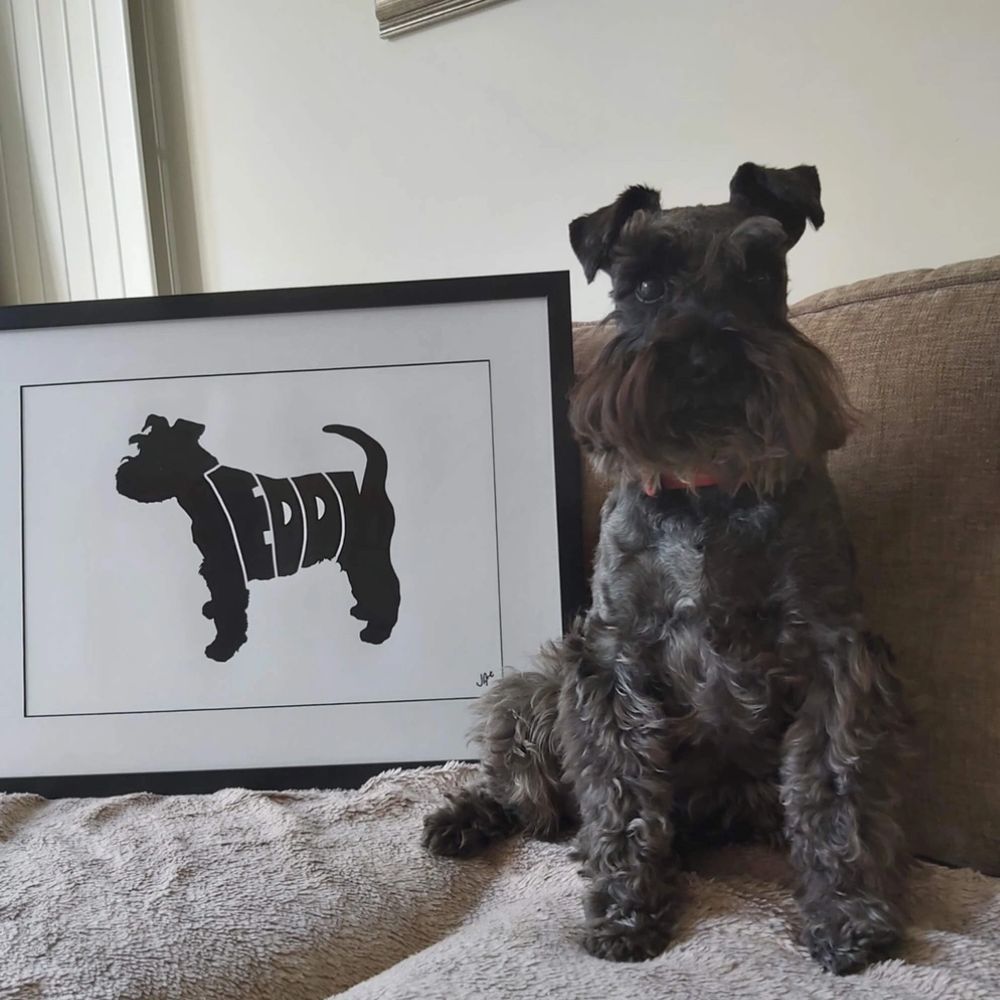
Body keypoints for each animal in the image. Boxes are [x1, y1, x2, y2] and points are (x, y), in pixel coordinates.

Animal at [117, 418, 398, 660]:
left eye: (160, 461)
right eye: (139, 445)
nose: (121, 478)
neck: (202, 486)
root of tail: (371, 487)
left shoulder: (227, 568)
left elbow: (231, 610)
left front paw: (222, 648)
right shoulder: (213, 565)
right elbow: (218, 598)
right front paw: (211, 609)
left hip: (367, 555)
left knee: (386, 588)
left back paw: (377, 630)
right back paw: (363, 611)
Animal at [426, 162, 912, 968]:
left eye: (761, 274)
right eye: (646, 286)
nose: (705, 358)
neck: (710, 486)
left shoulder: (834, 657)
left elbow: (834, 790)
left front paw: (848, 916)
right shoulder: (610, 661)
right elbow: (621, 797)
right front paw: (626, 913)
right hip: (535, 690)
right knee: (527, 793)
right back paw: (465, 818)